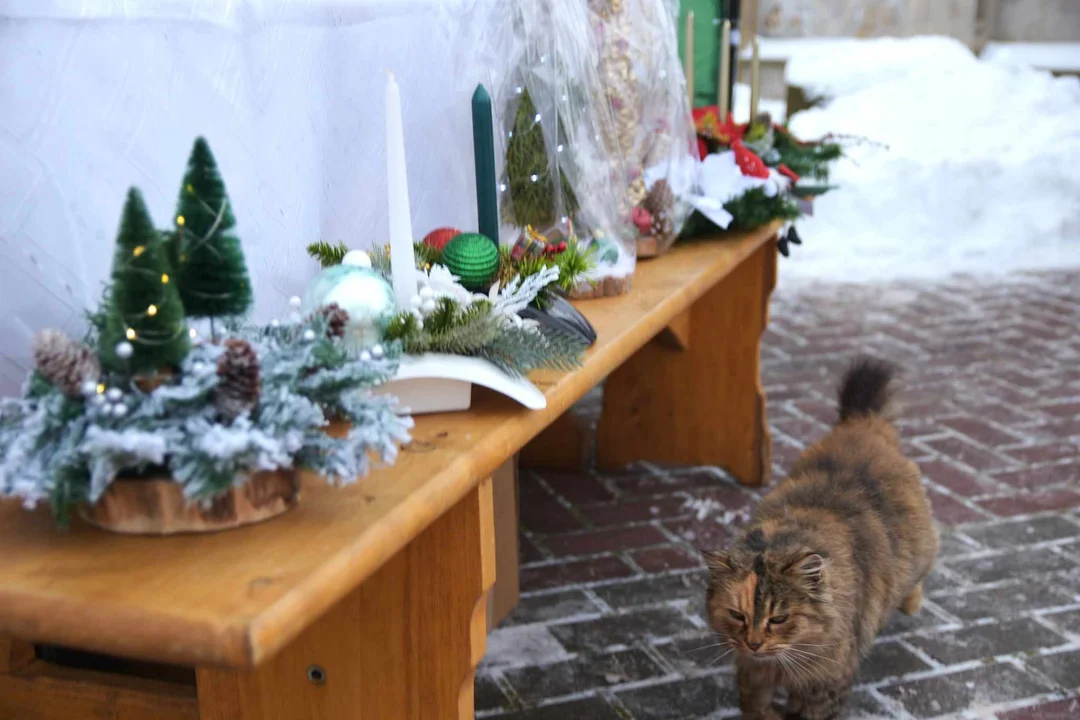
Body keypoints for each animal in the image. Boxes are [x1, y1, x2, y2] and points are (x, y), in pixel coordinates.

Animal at [704, 358, 941, 716]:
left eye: (779, 618)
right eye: (737, 615)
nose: (754, 643)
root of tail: (862, 424)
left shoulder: (826, 682)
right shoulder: (751, 673)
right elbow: (755, 705)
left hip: (922, 546)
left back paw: (911, 603)